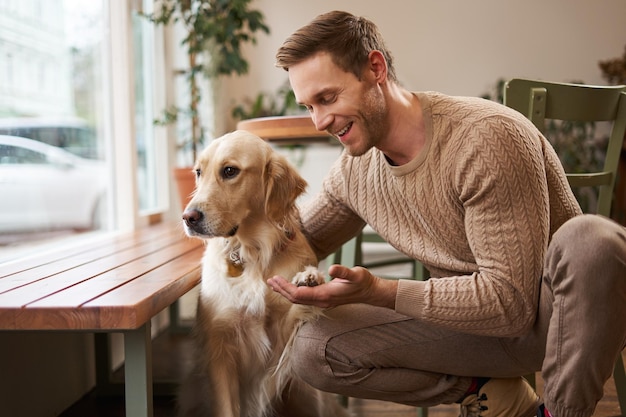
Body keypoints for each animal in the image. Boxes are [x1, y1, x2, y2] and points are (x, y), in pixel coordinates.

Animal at [179, 131, 352, 416]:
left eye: (230, 171)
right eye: (198, 172)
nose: (188, 217)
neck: (252, 253)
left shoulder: (281, 339)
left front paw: (310, 279)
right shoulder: (220, 348)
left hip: (308, 394)